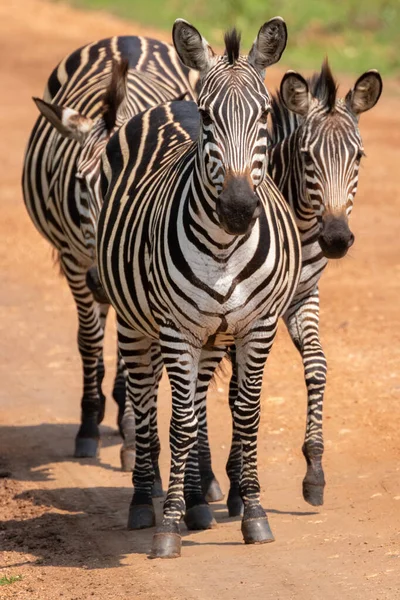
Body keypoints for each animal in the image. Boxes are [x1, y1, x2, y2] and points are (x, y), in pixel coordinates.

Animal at [22, 34, 198, 464]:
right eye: (80, 182)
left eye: (129, 189)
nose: (99, 281)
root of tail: (129, 37)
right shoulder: (74, 258)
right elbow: (89, 340)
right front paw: (88, 425)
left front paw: (133, 434)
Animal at [97, 19, 300, 564]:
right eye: (210, 118)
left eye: (265, 114)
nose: (238, 209)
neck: (225, 248)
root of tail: (172, 103)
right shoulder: (176, 329)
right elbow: (180, 423)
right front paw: (167, 528)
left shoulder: (258, 327)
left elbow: (246, 416)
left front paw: (253, 514)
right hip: (136, 324)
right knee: (147, 402)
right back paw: (145, 501)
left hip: (211, 337)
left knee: (201, 404)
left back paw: (195, 502)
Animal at [195, 61, 382, 516]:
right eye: (307, 157)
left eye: (358, 156)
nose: (336, 239)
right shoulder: (243, 313)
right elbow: (235, 393)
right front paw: (237, 487)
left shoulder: (303, 297)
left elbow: (317, 366)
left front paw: (314, 473)